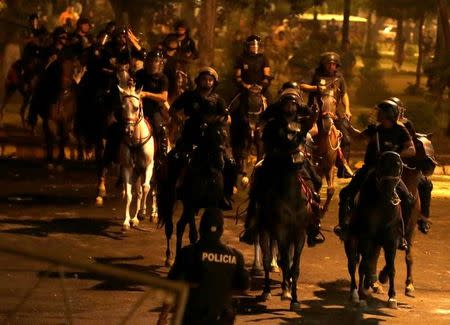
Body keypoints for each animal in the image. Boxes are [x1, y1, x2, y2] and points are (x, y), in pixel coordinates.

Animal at [118, 85, 156, 229]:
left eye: (136, 107)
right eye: (122, 107)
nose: (128, 130)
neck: (136, 140)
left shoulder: (149, 165)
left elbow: (146, 187)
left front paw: (142, 213)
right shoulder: (128, 167)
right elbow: (129, 194)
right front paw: (127, 221)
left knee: (154, 189)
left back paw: (153, 214)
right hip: (138, 171)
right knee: (139, 192)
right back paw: (134, 219)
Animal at [158, 120, 229, 264]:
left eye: (225, 136)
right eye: (211, 138)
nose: (220, 163)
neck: (207, 174)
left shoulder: (211, 204)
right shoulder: (191, 203)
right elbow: (193, 234)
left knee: (180, 226)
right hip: (171, 200)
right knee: (170, 227)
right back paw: (169, 257)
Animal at [344, 151, 404, 308]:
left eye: (399, 166)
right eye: (381, 166)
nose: (390, 195)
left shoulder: (391, 240)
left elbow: (391, 267)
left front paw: (392, 296)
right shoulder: (366, 238)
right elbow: (363, 266)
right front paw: (362, 296)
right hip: (352, 241)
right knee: (353, 265)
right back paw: (355, 293)